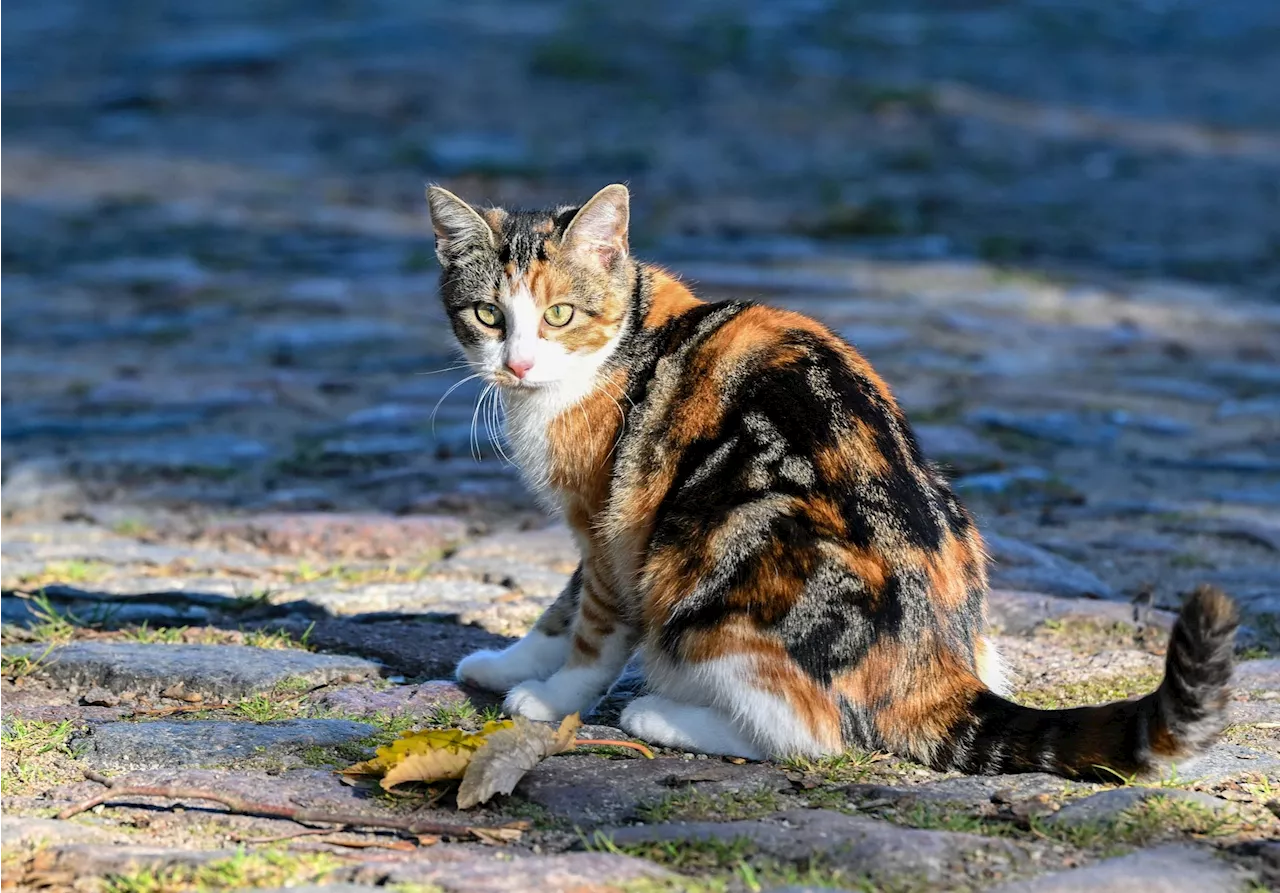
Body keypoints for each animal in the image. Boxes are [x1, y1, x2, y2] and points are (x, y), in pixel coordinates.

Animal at [430, 184, 1239, 777]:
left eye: (560, 314)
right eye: (488, 314)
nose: (518, 364)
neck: (626, 340)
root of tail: (935, 665)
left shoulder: (614, 521)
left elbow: (595, 624)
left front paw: (551, 697)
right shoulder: (595, 529)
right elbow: (561, 604)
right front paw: (506, 662)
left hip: (718, 550)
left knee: (816, 735)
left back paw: (661, 715)